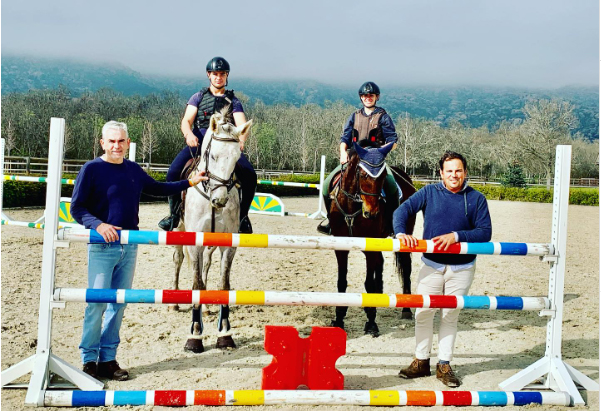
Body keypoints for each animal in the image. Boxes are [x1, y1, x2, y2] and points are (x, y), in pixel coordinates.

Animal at [172, 109, 252, 353]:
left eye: (236, 159)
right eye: (213, 156)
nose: (220, 200)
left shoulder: (229, 244)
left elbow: (224, 284)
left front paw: (225, 334)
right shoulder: (195, 242)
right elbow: (196, 283)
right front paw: (195, 337)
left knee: (207, 263)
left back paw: (207, 308)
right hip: (179, 229)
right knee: (178, 259)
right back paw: (175, 302)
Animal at [328, 142, 416, 336]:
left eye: (382, 176)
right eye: (363, 174)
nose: (372, 213)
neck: (352, 206)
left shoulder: (369, 245)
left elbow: (368, 282)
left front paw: (371, 322)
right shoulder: (341, 246)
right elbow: (341, 282)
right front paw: (339, 319)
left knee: (405, 266)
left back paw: (406, 309)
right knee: (380, 263)